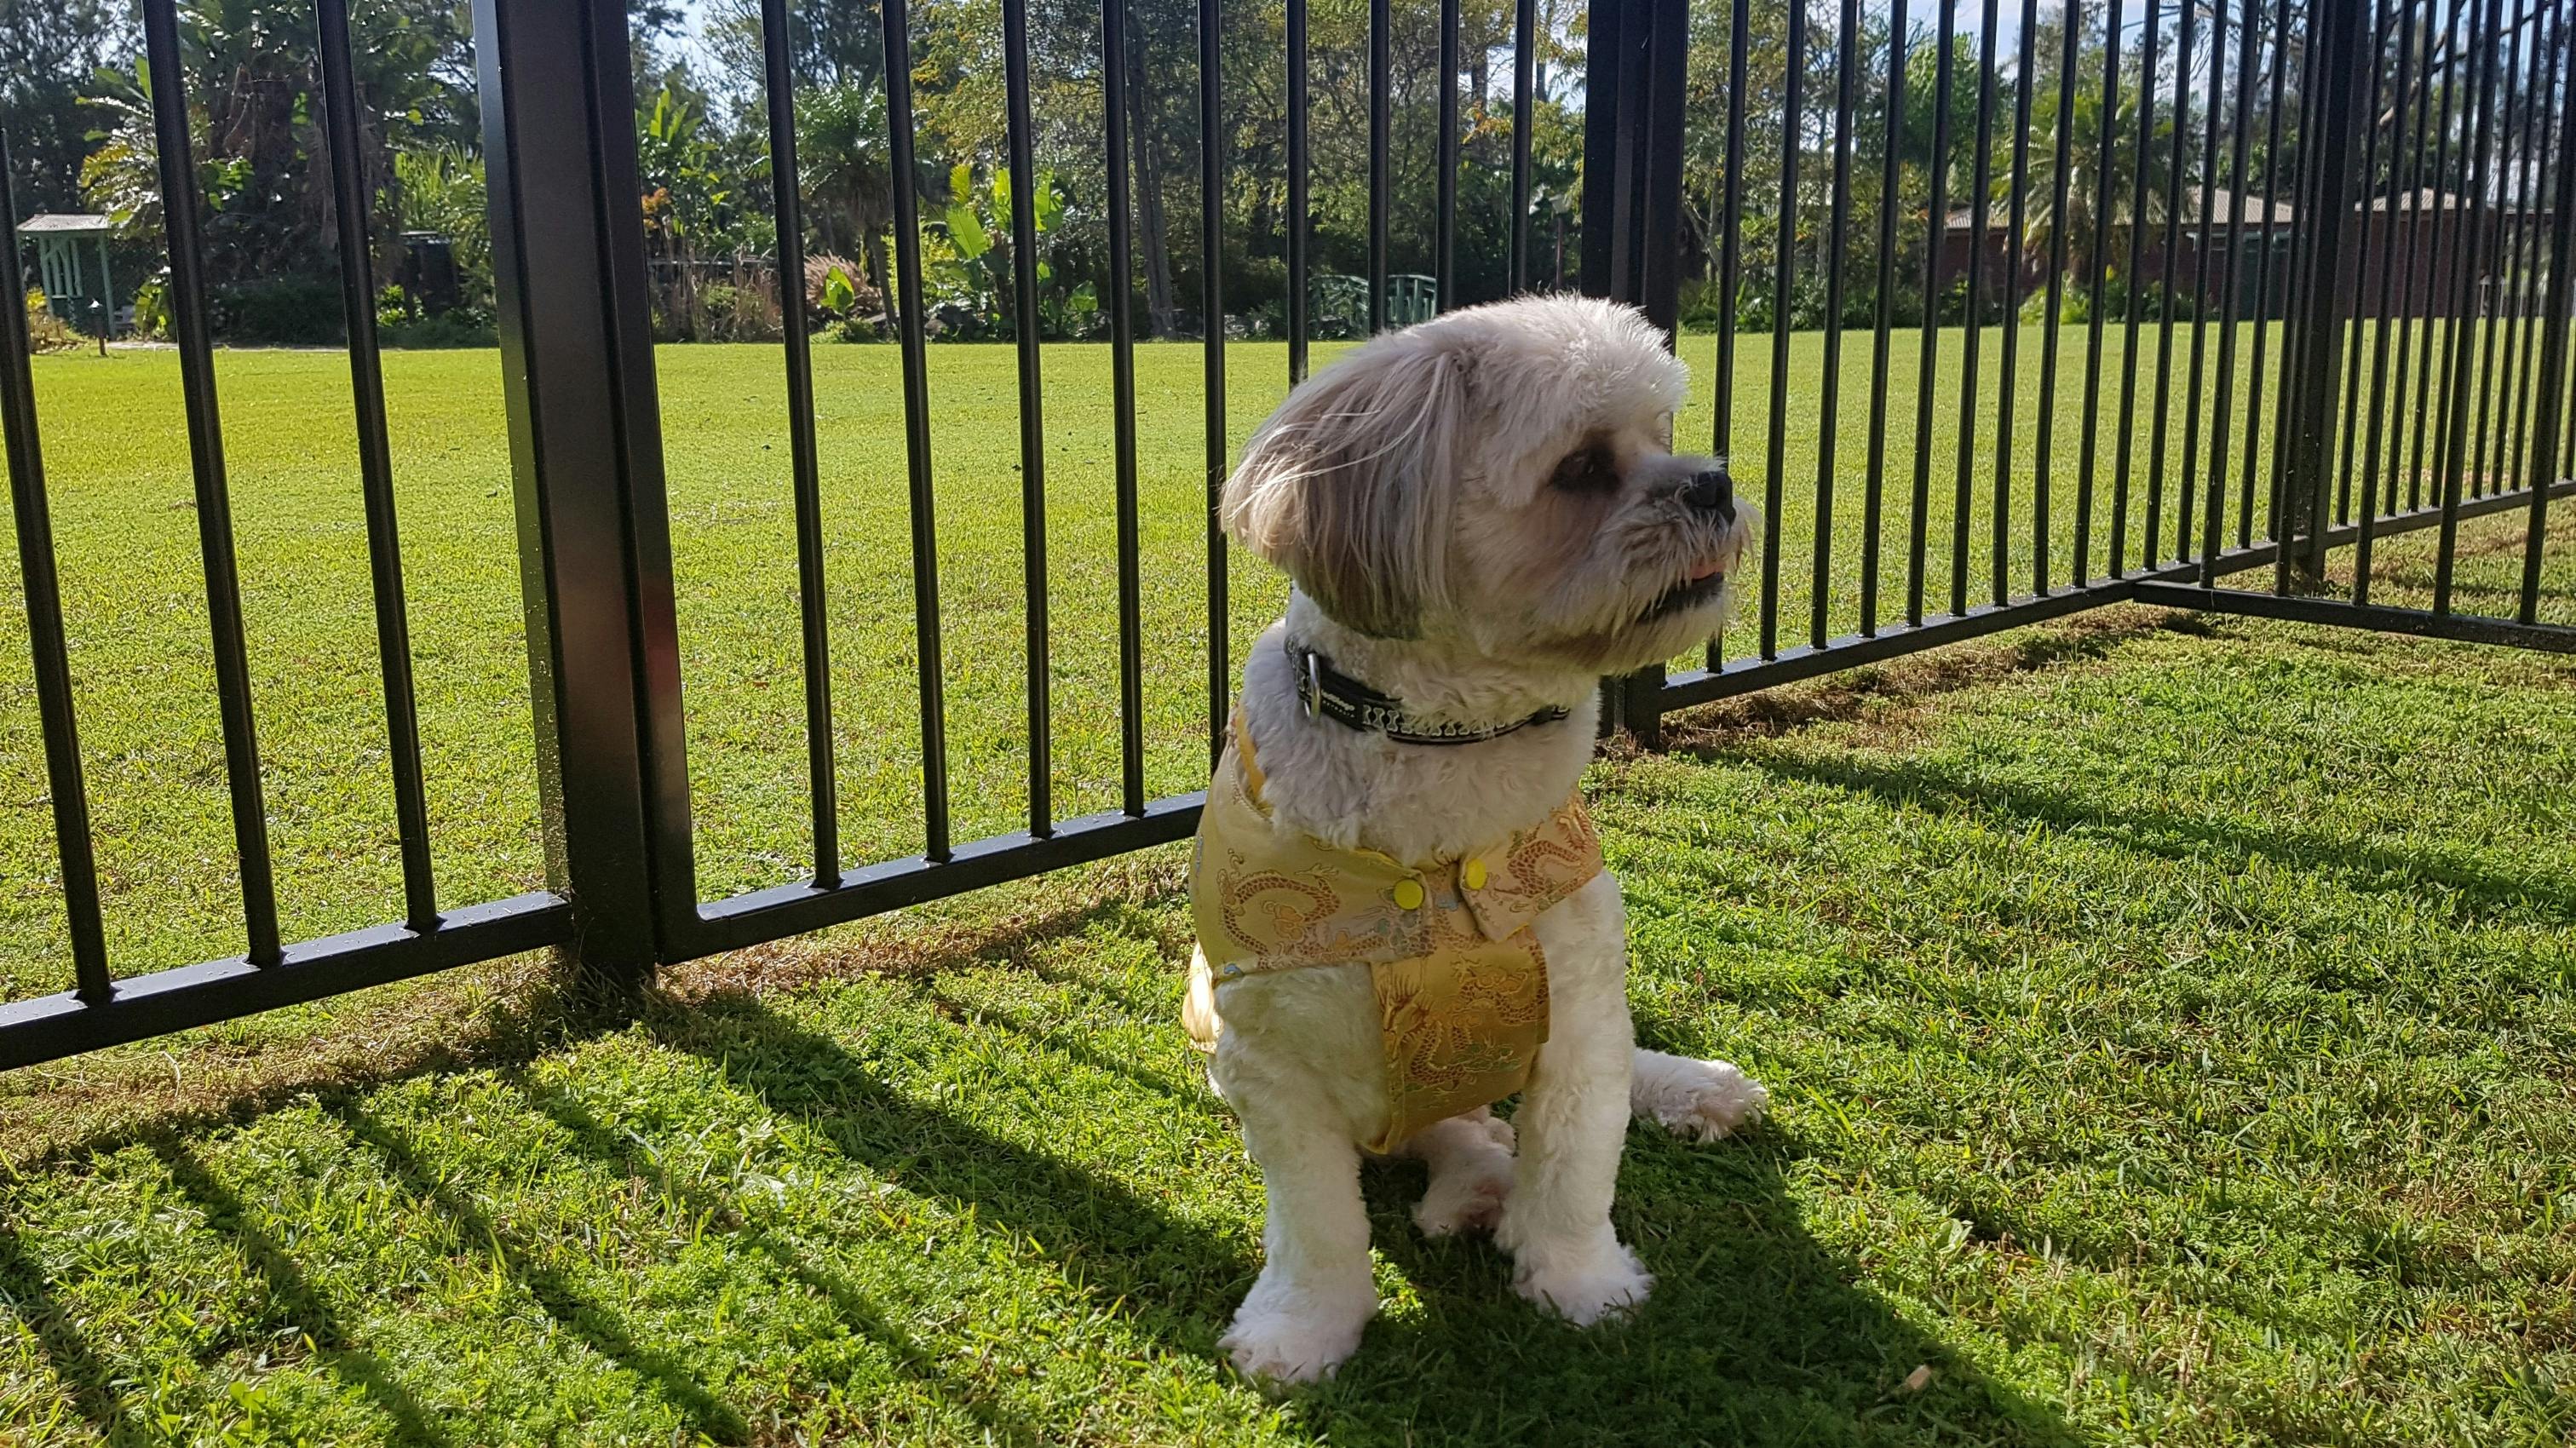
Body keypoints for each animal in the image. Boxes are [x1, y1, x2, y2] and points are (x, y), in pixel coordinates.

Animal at [1184, 294, 1769, 1384]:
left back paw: (1686, 1089)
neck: (1443, 748)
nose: (1712, 482)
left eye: (1664, 434)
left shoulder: (1576, 1006)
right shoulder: (1273, 1064)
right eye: (1582, 467)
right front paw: (1302, 1328)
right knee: (1453, 1129)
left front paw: (1580, 1282)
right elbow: (1317, 1224)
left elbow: (1578, 1161)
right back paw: (1477, 1179)